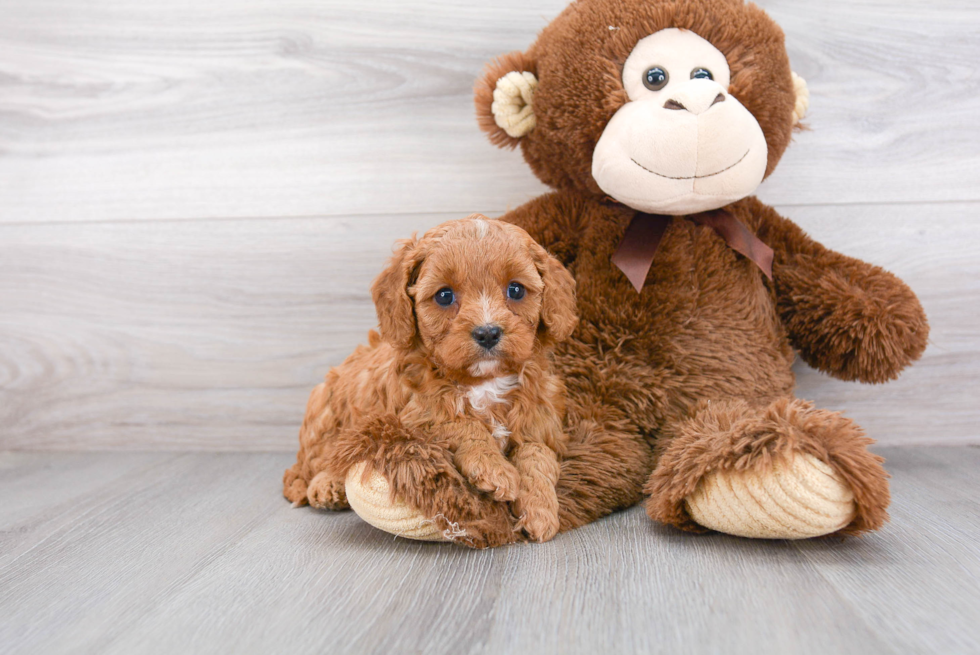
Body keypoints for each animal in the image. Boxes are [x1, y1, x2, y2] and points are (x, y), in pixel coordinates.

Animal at [282, 215, 576, 544]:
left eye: (516, 290)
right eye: (444, 296)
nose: (487, 332)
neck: (484, 381)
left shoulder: (541, 420)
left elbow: (537, 456)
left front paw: (540, 510)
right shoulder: (413, 417)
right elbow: (460, 423)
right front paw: (493, 468)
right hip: (326, 417)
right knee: (309, 467)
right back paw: (326, 486)